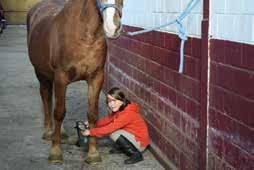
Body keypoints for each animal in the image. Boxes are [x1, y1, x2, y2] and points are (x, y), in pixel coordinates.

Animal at [27, 0, 123, 164]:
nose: (113, 28)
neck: (85, 35)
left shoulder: (96, 78)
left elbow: (92, 114)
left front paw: (93, 154)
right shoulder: (61, 77)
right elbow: (59, 112)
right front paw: (55, 152)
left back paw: (61, 132)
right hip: (41, 73)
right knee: (46, 96)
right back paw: (48, 132)